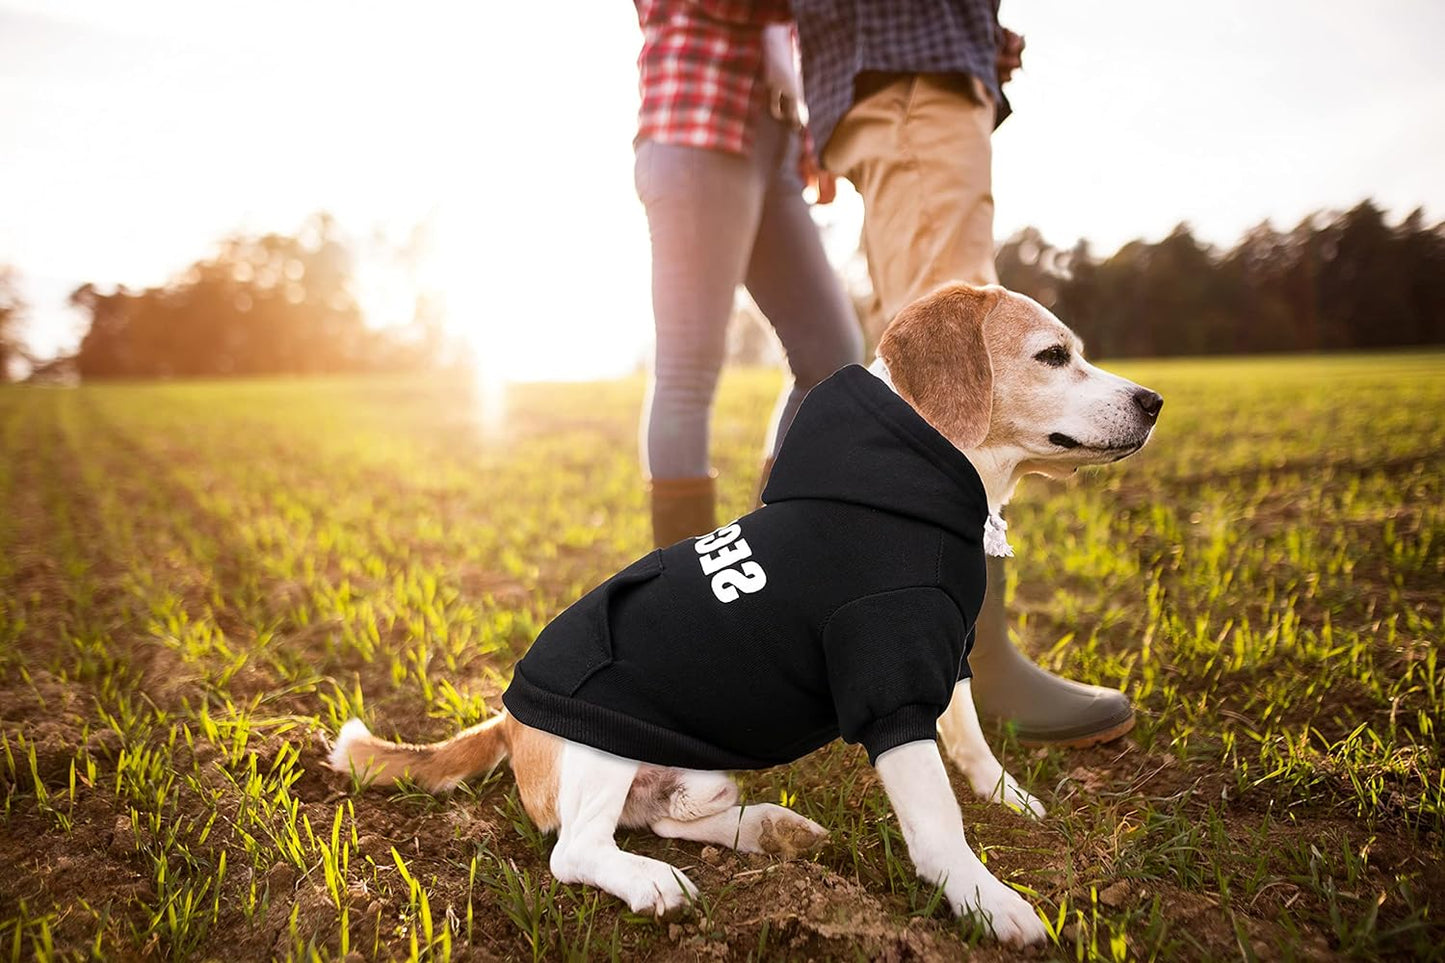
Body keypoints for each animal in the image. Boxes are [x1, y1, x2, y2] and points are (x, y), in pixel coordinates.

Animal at [330, 281, 1161, 942]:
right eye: (1051, 355)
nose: (1153, 401)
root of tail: (506, 717)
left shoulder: (941, 653)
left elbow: (973, 745)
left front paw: (1010, 800)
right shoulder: (887, 677)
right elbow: (936, 822)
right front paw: (989, 901)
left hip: (697, 764)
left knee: (672, 815)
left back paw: (771, 827)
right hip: (601, 743)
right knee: (578, 850)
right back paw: (654, 882)